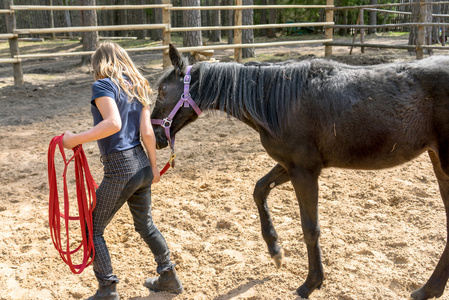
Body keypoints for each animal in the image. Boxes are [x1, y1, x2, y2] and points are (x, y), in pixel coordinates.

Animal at [150, 45, 448, 300]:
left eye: (162, 91)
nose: (155, 137)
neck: (276, 99)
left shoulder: (305, 172)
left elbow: (309, 227)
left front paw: (311, 283)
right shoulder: (289, 166)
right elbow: (259, 189)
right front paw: (276, 251)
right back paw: (428, 290)